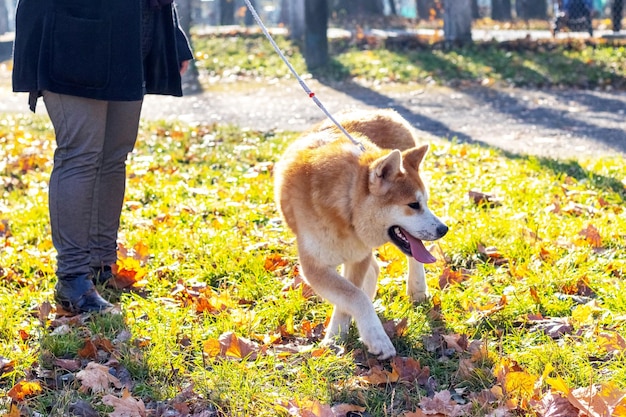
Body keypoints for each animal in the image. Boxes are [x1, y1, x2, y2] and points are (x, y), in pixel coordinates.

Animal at [276, 108, 446, 358]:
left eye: (424, 202)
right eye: (413, 205)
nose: (444, 229)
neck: (346, 208)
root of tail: (385, 112)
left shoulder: (357, 257)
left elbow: (352, 295)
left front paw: (342, 334)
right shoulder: (315, 266)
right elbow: (354, 296)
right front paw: (351, 336)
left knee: (411, 260)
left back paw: (416, 288)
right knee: (373, 273)